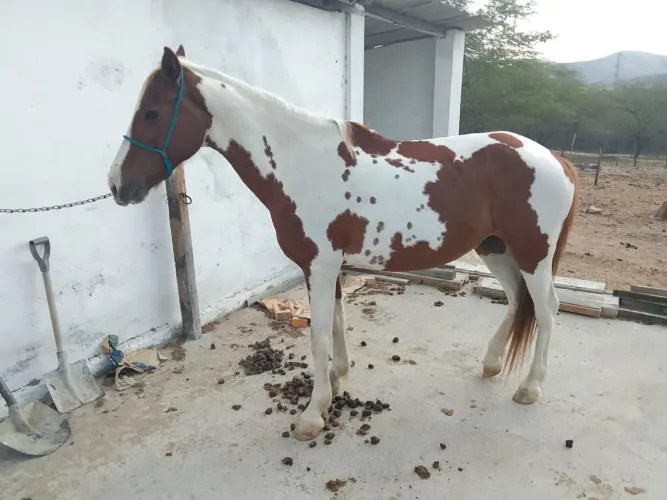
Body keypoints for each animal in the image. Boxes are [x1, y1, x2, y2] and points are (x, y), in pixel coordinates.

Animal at [106, 46, 578, 441]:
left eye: (152, 113)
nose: (116, 185)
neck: (301, 163)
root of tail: (557, 159)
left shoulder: (319, 265)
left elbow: (318, 337)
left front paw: (313, 415)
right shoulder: (326, 267)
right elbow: (335, 325)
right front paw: (336, 382)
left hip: (532, 254)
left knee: (547, 309)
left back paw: (530, 388)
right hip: (496, 248)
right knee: (517, 301)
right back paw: (492, 363)